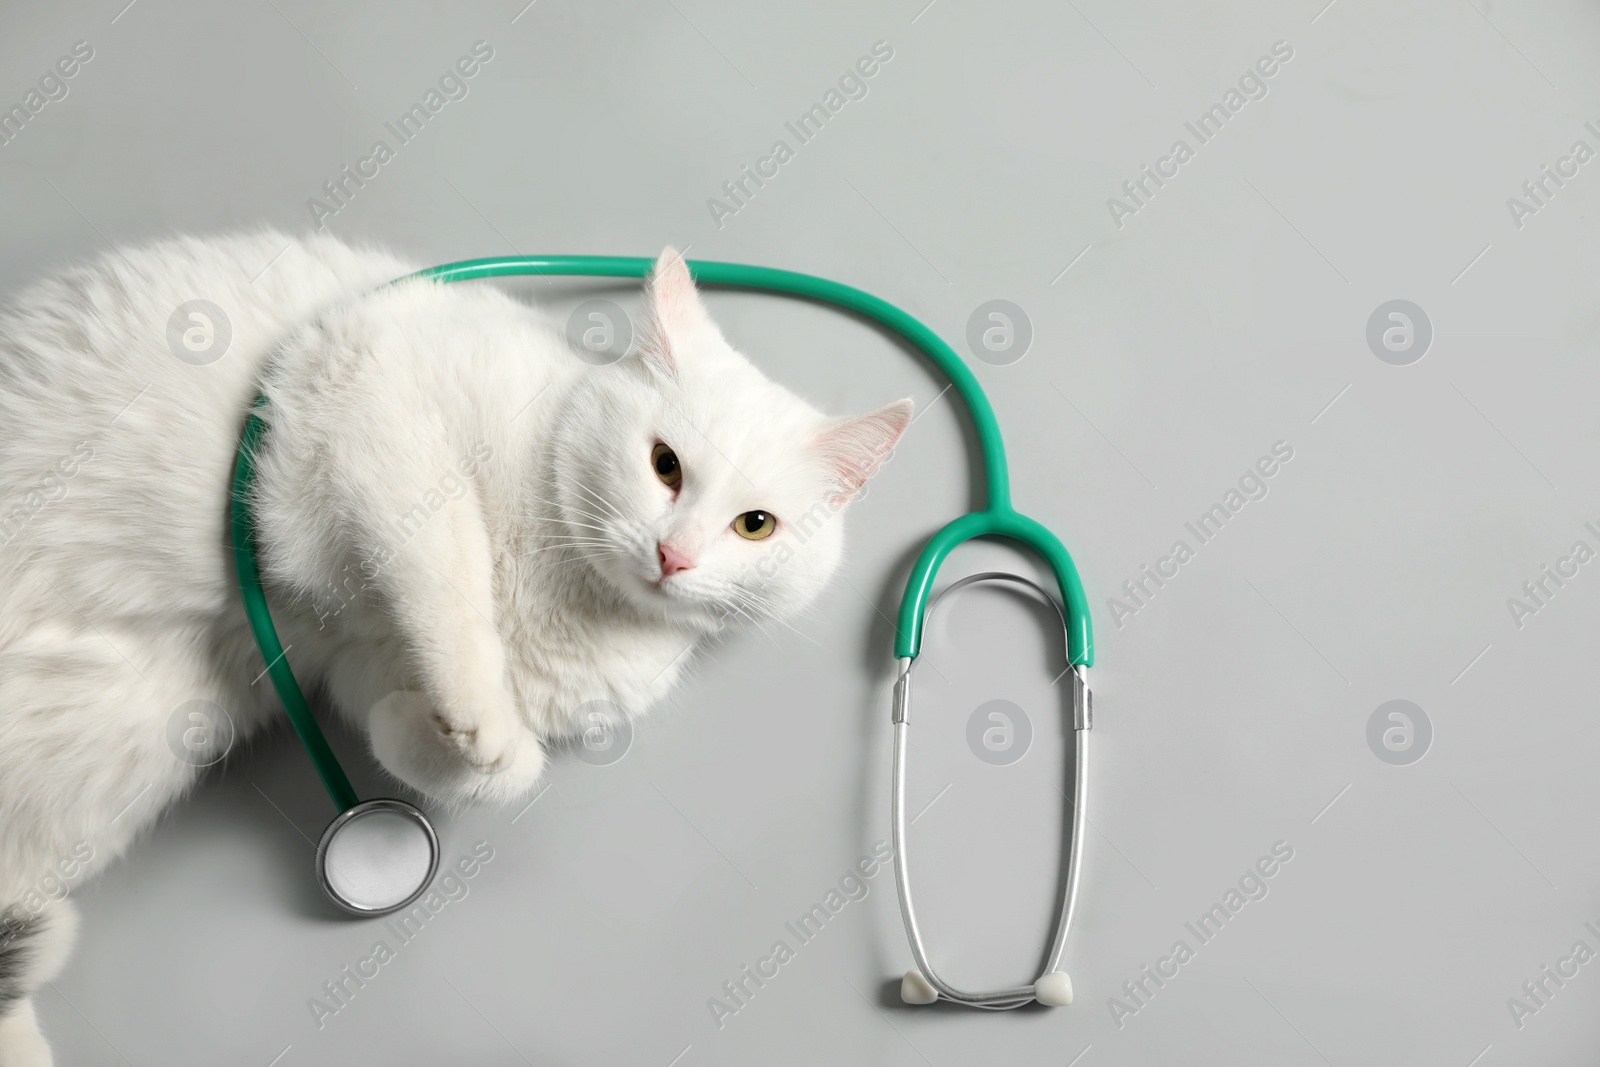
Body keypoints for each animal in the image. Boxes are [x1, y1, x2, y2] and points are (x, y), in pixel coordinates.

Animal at [0, 235, 908, 1067]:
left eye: (755, 525)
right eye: (664, 463)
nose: (674, 555)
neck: (573, 593)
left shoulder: (354, 664)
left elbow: (469, 762)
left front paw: (456, 737)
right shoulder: (377, 405)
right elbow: (450, 570)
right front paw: (480, 703)